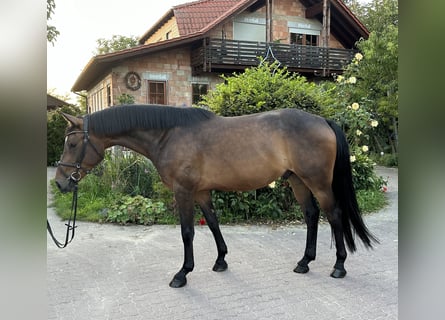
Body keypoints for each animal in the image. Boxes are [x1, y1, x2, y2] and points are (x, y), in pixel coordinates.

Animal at [53, 105, 376, 288]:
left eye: (72, 144)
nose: (60, 183)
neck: (169, 134)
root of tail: (323, 121)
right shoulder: (201, 192)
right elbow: (212, 223)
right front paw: (221, 261)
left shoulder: (183, 191)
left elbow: (187, 232)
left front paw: (182, 274)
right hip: (297, 180)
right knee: (311, 215)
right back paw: (305, 262)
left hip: (318, 182)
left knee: (333, 215)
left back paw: (339, 266)